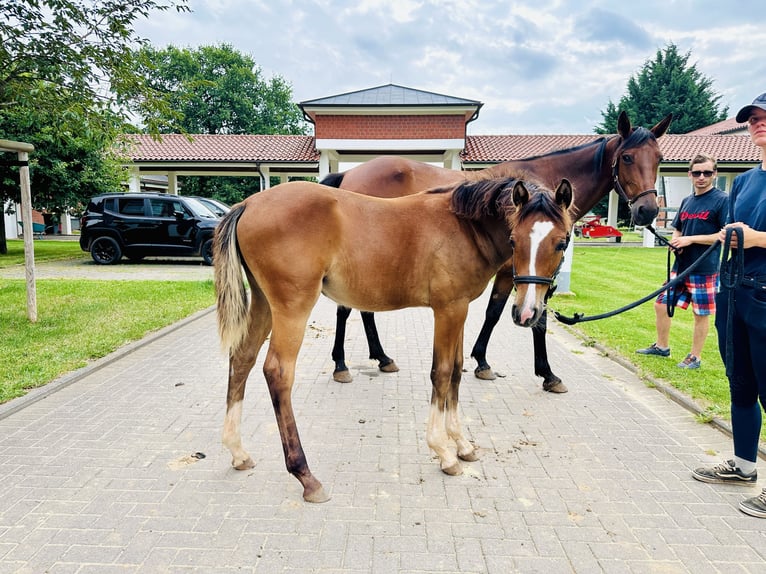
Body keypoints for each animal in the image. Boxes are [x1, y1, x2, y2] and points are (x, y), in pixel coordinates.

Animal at [214, 175, 573, 502]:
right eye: (513, 239)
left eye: (563, 242)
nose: (526, 313)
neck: (464, 227)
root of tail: (248, 204)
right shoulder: (448, 309)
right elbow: (442, 373)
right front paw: (444, 452)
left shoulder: (461, 309)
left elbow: (457, 371)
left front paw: (462, 444)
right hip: (293, 307)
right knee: (277, 372)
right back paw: (305, 475)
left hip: (263, 302)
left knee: (242, 358)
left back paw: (238, 452)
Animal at [323, 110, 672, 392]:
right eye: (627, 157)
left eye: (658, 157)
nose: (647, 210)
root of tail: (349, 173)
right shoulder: (516, 271)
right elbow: (518, 316)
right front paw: (546, 374)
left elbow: (496, 313)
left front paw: (480, 361)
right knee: (345, 309)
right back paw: (341, 364)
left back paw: (382, 357)